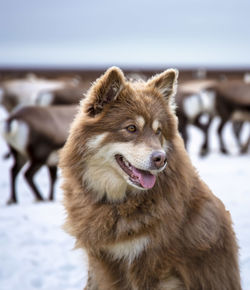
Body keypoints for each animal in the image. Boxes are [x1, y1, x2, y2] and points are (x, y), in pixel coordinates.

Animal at [59, 67, 241, 288]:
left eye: (158, 131)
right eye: (131, 128)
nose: (160, 159)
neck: (116, 203)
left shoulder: (149, 265)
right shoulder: (102, 260)